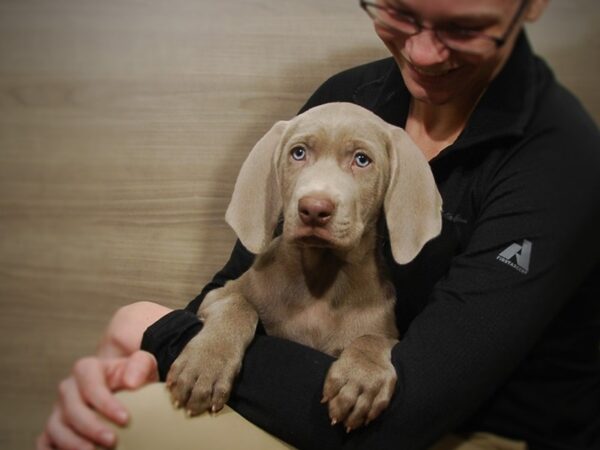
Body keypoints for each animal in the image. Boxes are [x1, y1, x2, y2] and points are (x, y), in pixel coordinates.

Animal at [166, 102, 442, 432]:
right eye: (298, 153)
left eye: (362, 160)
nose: (314, 209)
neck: (320, 279)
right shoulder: (217, 294)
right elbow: (238, 305)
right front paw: (206, 363)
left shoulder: (383, 327)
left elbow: (375, 338)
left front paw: (362, 376)